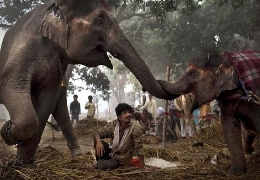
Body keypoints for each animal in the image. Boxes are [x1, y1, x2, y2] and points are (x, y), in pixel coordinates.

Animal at [0, 0, 176, 169]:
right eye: (99, 20)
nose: (161, 81)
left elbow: (45, 103)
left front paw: (25, 166)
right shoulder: (26, 46)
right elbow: (9, 87)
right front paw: (7, 132)